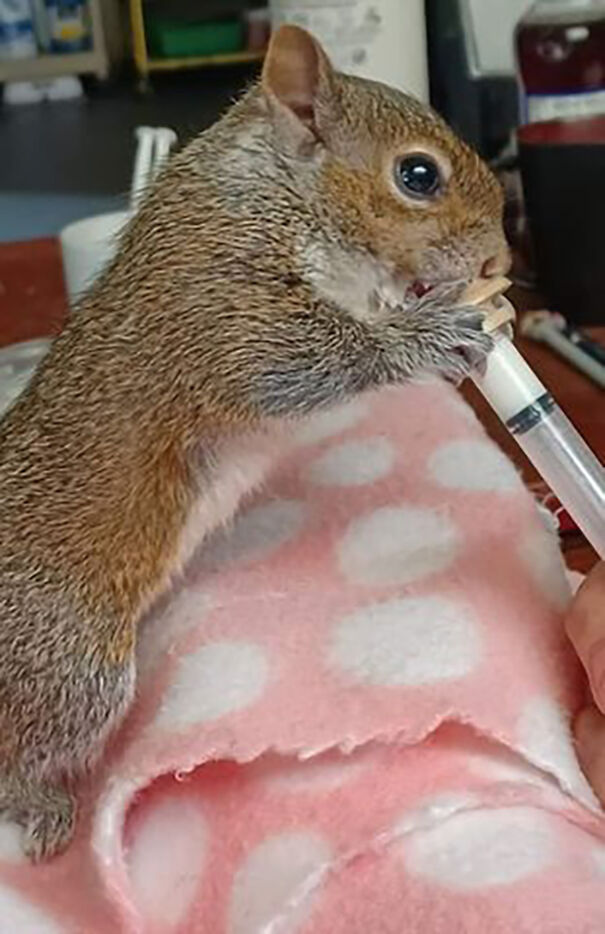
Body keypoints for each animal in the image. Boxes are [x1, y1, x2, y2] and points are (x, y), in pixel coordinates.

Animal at [0, 24, 510, 861]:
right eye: (417, 175)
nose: (500, 262)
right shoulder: (216, 301)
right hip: (68, 666)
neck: (272, 193)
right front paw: (426, 336)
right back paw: (38, 807)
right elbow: (287, 363)